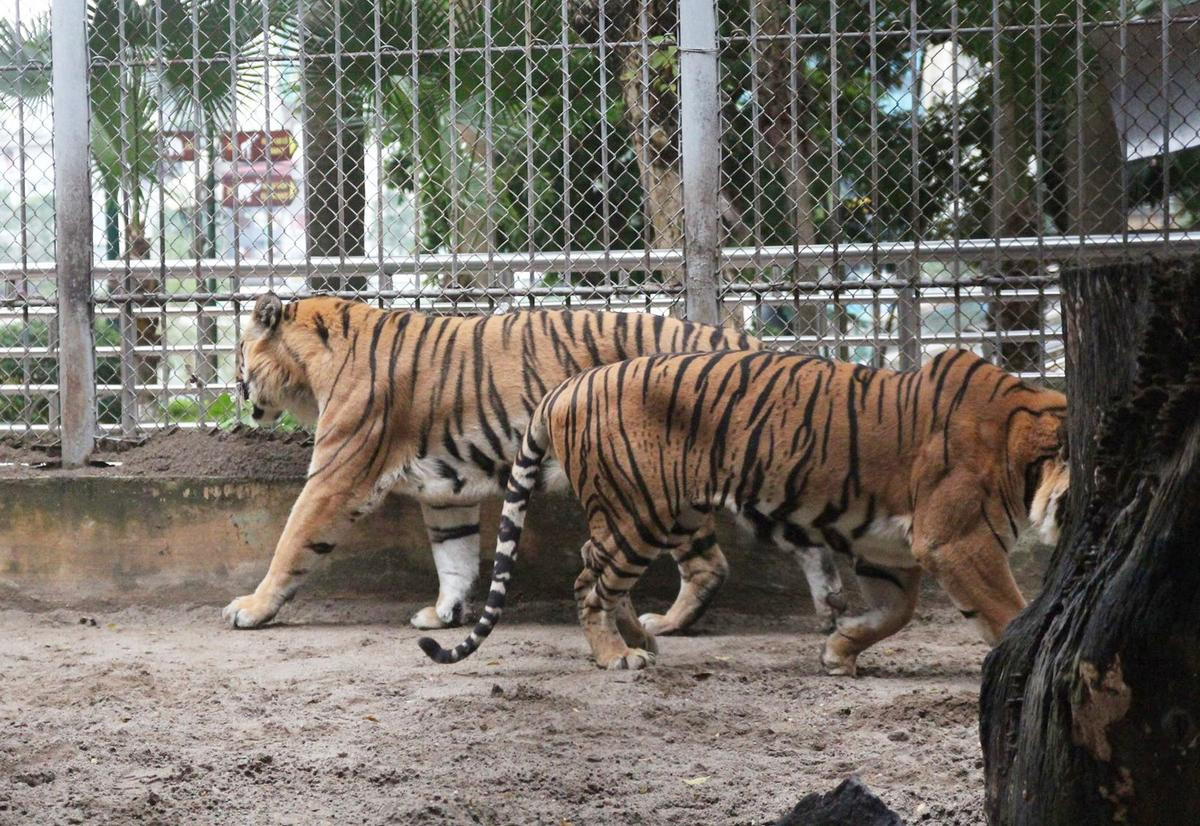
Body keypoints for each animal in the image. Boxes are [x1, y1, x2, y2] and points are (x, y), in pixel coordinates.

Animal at [223, 295, 844, 633]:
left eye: (239, 352)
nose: (235, 386)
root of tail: (740, 339)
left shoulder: (336, 477)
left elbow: (290, 543)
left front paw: (251, 608)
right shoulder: (446, 490)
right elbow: (454, 558)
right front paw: (445, 614)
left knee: (712, 564)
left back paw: (669, 624)